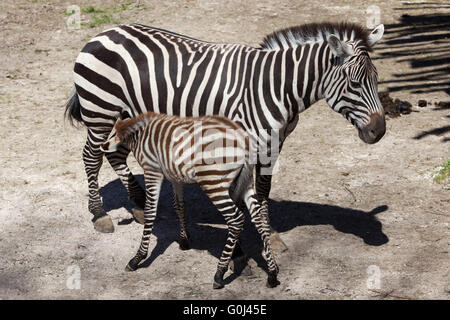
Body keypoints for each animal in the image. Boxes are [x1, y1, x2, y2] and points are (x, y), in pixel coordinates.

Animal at [67, 21, 386, 232]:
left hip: (123, 112)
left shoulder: (275, 141)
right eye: (354, 83)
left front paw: (266, 233)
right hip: (100, 110)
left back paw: (138, 204)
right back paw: (100, 214)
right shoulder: (247, 139)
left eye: (377, 78)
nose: (379, 131)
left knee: (114, 153)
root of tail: (103, 32)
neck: (276, 86)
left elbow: (264, 186)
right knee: (91, 156)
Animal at [100, 112, 278, 288]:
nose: (103, 146)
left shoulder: (152, 170)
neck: (139, 134)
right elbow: (179, 205)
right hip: (246, 181)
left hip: (213, 182)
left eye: (114, 134)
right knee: (259, 219)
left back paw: (219, 274)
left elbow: (150, 211)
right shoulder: (175, 177)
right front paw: (184, 241)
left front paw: (138, 258)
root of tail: (244, 140)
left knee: (236, 219)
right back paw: (272, 273)